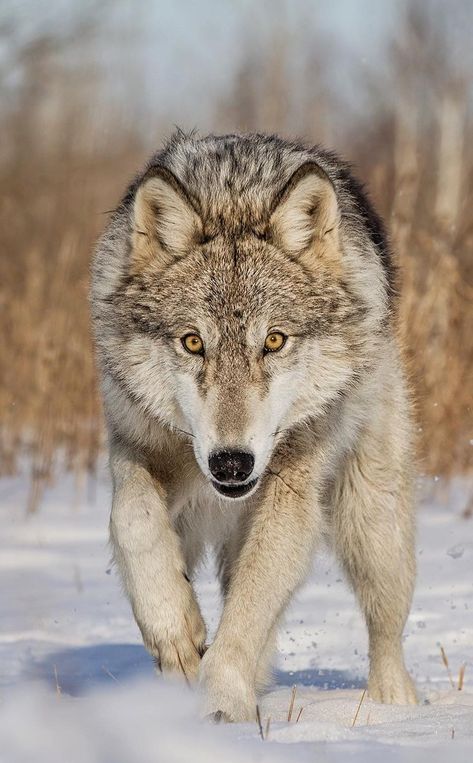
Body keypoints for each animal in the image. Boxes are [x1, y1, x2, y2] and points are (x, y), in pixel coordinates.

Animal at [90, 133, 414, 724]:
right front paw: (176, 634)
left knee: (386, 633)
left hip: (373, 528)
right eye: (193, 342)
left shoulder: (291, 491)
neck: (234, 197)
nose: (232, 463)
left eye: (275, 341)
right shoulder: (134, 445)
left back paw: (395, 711)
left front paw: (220, 704)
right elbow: (132, 521)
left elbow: (250, 610)